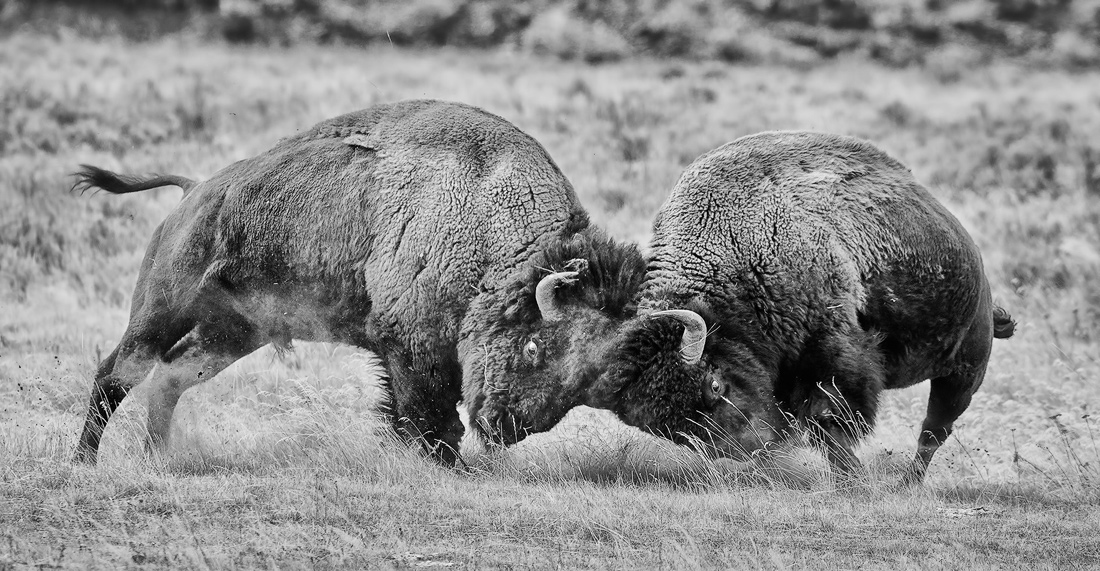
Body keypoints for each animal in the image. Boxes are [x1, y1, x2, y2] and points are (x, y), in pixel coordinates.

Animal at [71, 99, 644, 466]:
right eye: (533, 347)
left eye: (583, 383)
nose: (508, 426)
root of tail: (195, 191)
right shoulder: (410, 350)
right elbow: (425, 416)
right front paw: (443, 463)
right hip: (163, 309)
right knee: (116, 374)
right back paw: (84, 463)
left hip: (232, 332)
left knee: (170, 377)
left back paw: (157, 457)